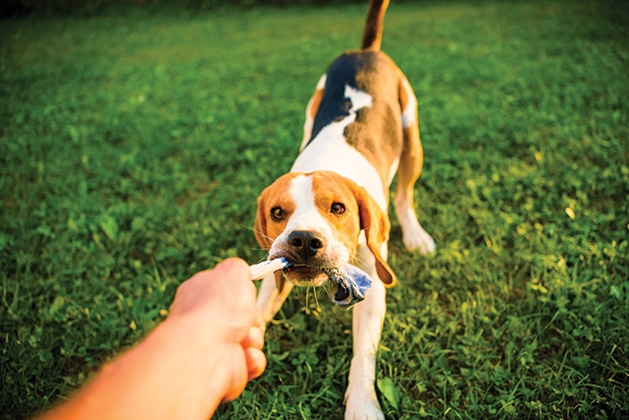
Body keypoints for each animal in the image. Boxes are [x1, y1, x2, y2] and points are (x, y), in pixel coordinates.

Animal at [253, 1, 434, 418]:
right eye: (277, 213)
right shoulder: (273, 270)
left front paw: (364, 404)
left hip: (411, 134)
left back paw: (416, 235)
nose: (304, 240)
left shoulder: (373, 279)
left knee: (404, 195)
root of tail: (365, 52)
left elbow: (363, 354)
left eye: (338, 208)